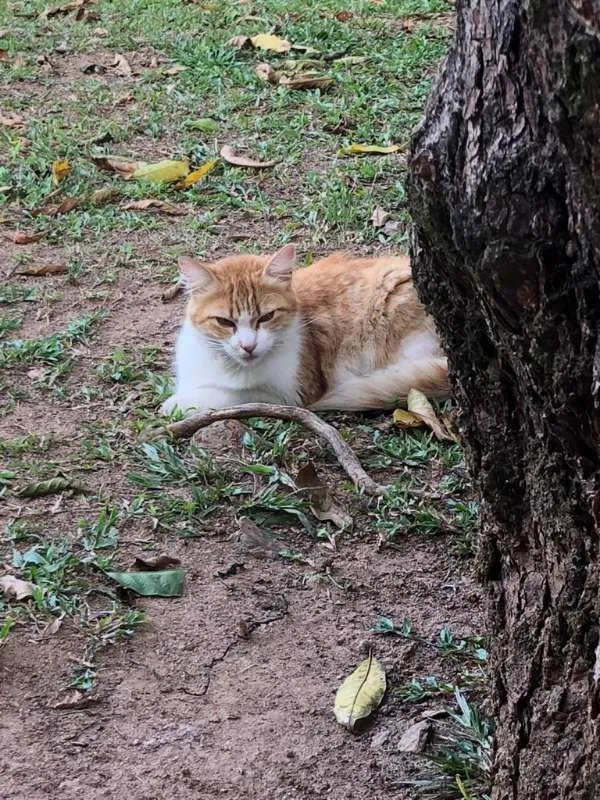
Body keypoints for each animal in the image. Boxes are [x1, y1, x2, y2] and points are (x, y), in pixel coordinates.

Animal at [162, 245, 448, 416]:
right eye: (224, 322)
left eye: (267, 317)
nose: (248, 346)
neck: (228, 367)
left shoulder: (291, 393)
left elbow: (234, 395)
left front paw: (179, 404)